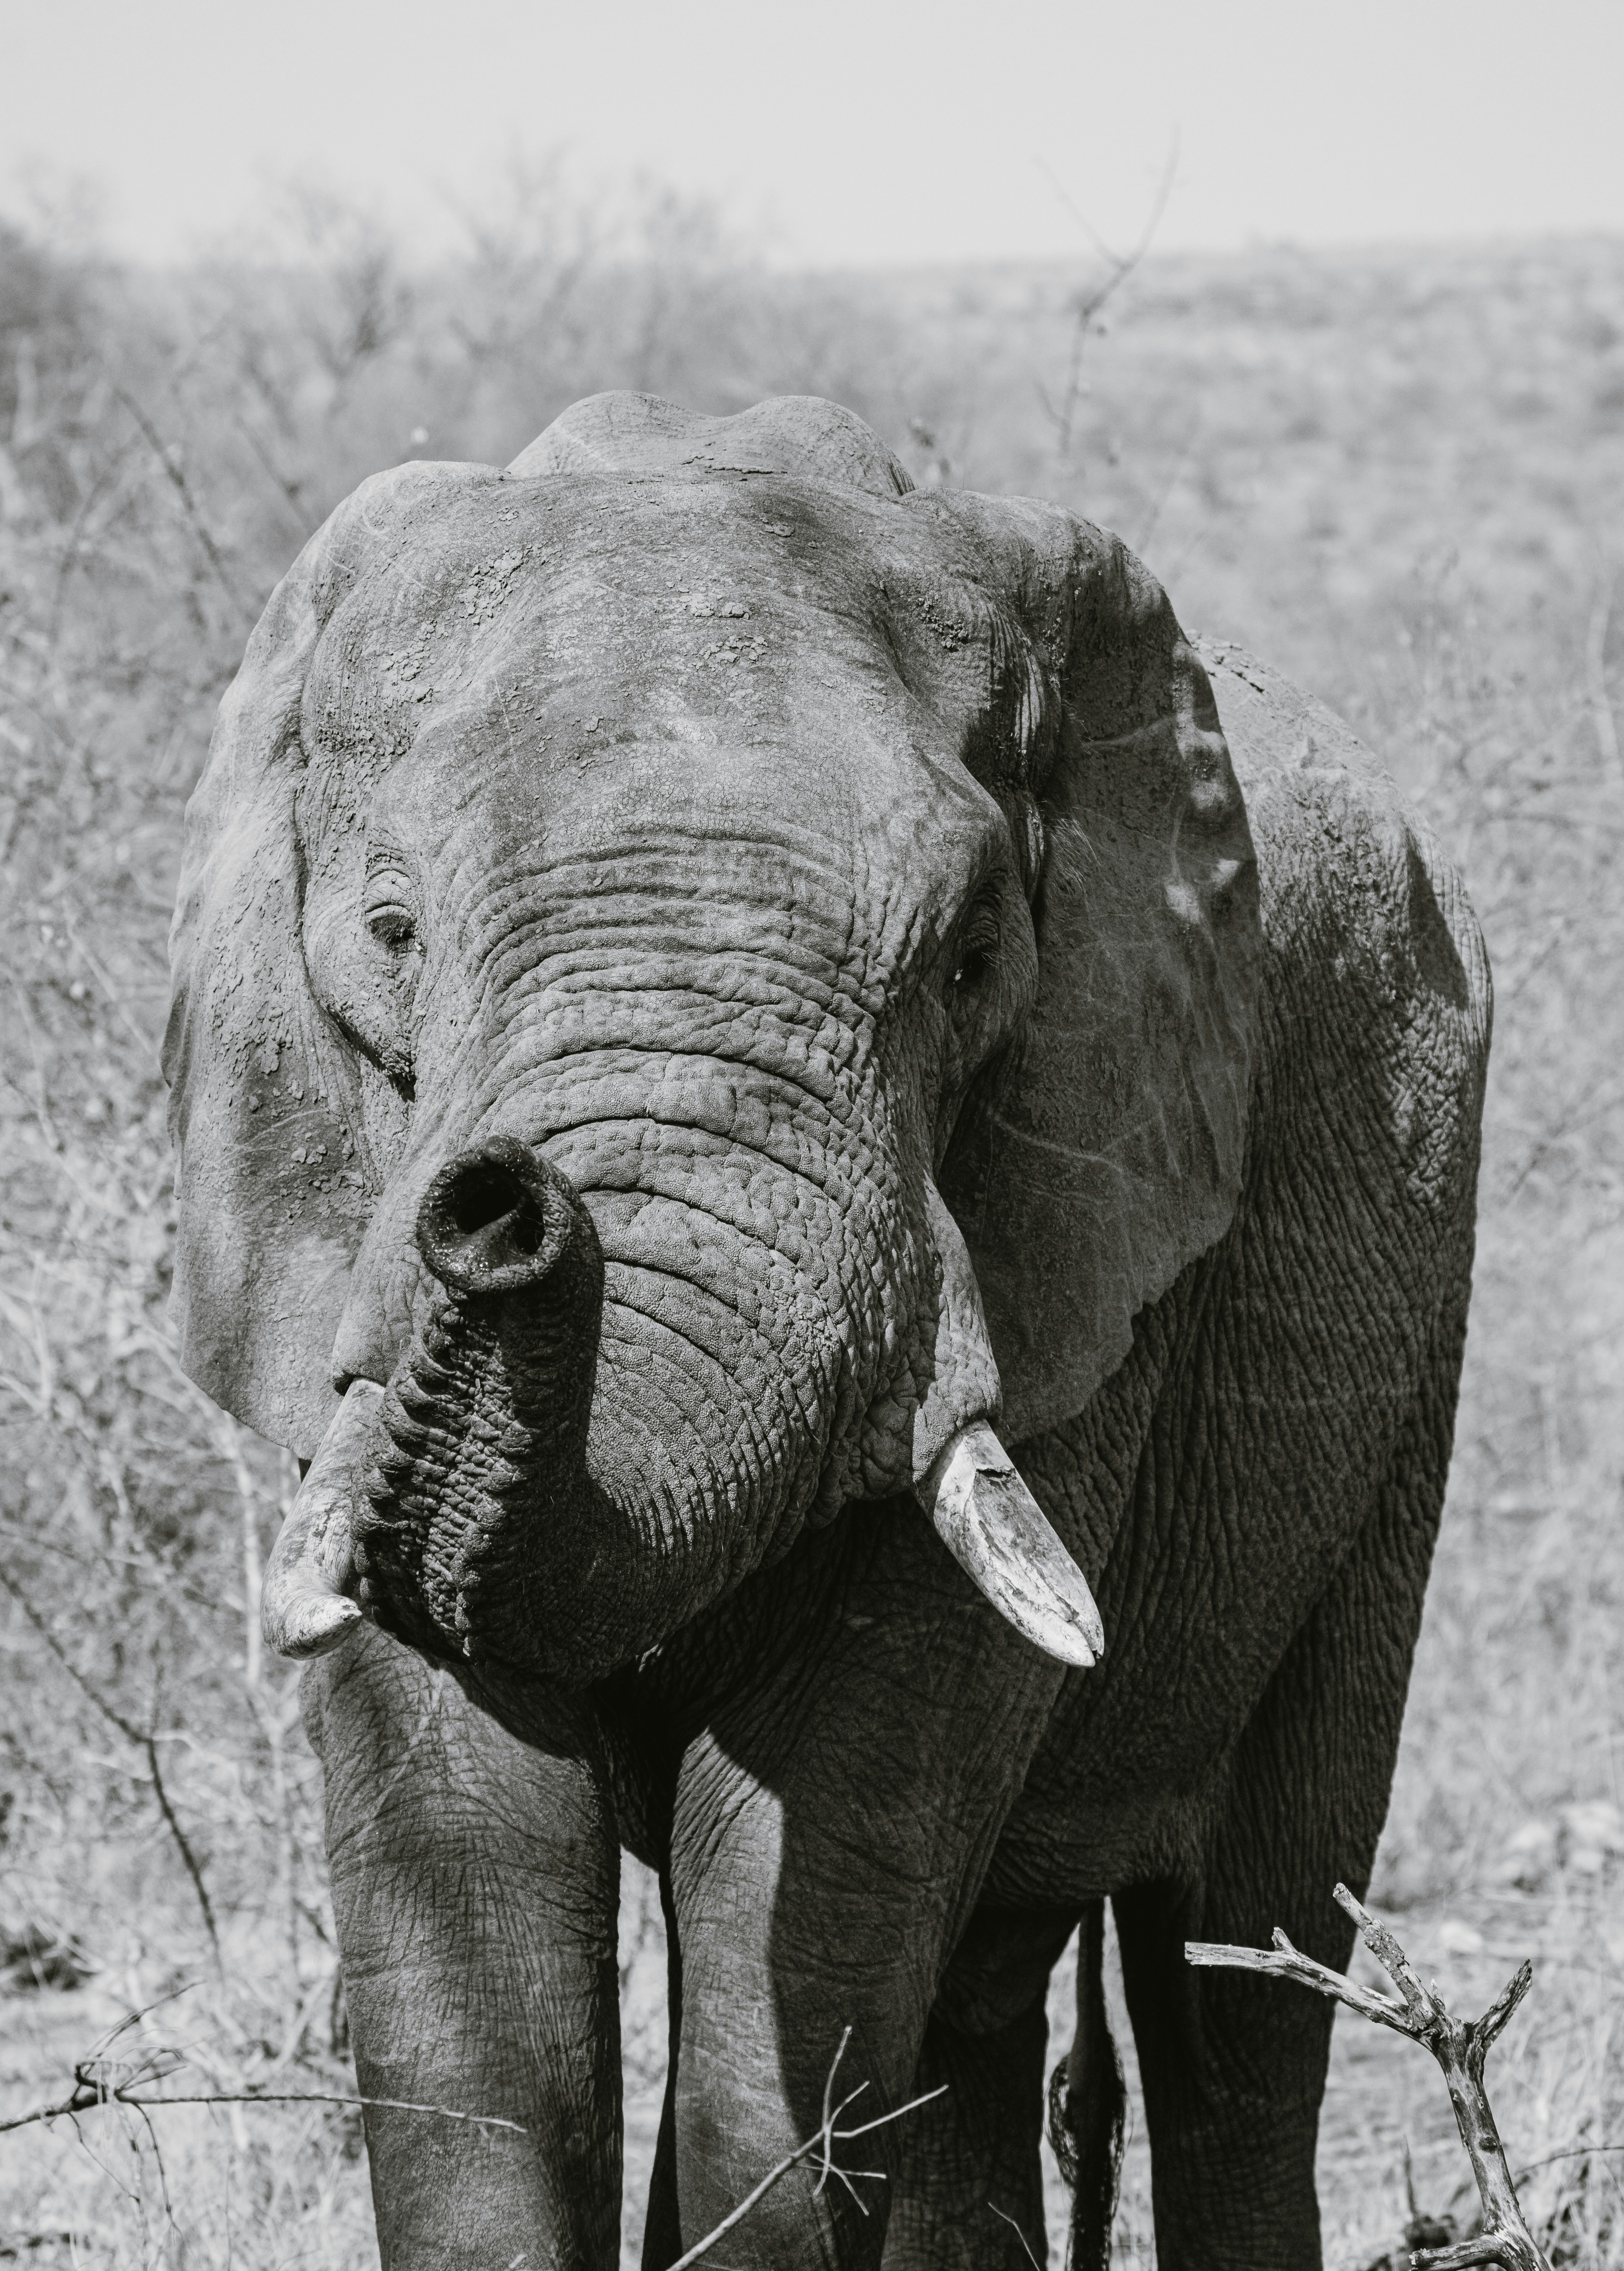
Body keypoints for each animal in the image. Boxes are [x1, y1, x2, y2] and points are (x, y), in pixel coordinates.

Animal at [162, 389, 1490, 2268]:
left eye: (969, 965)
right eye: (394, 933)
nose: (495, 1203)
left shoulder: (1079, 1230)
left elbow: (824, 1852)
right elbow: (463, 1871)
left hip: (1400, 1342)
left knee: (1239, 1993)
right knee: (980, 2009)